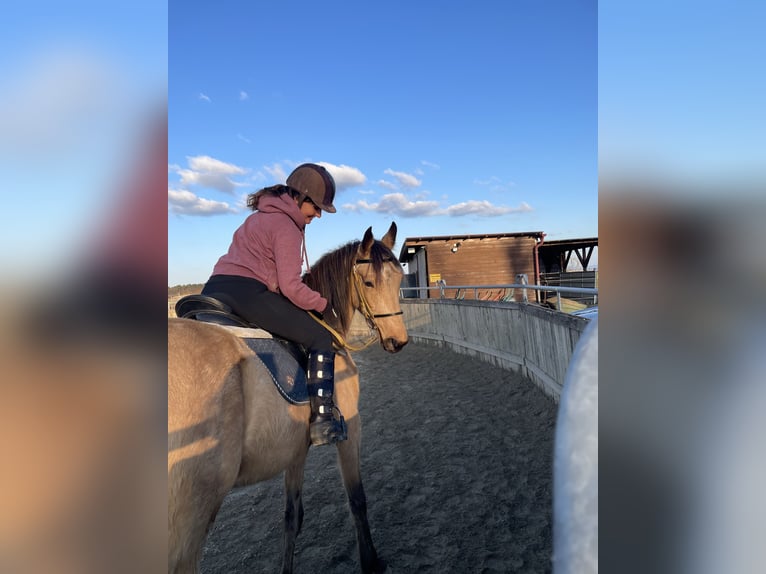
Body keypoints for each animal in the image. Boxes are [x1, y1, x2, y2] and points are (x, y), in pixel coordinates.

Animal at [168, 222, 408, 574]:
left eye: (400, 279)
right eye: (368, 282)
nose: (398, 340)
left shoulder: (294, 449)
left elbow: (292, 517)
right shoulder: (351, 428)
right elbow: (357, 500)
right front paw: (371, 562)